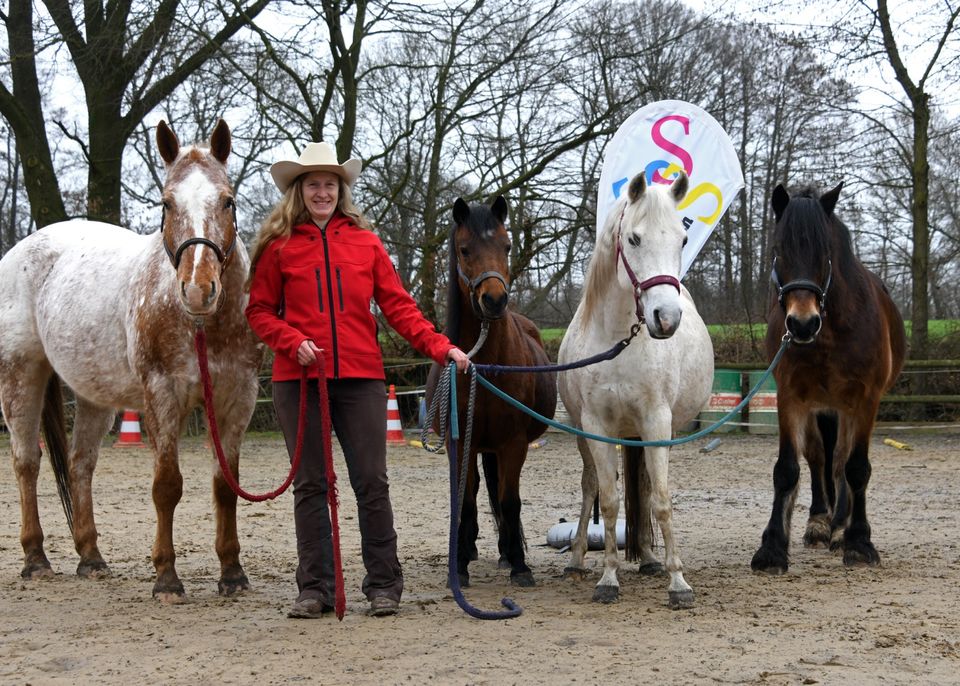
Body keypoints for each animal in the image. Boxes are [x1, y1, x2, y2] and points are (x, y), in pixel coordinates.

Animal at [0, 121, 262, 604]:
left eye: (228, 200)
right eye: (167, 203)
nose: (198, 289)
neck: (202, 324)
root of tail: (22, 249)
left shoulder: (238, 396)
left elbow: (225, 484)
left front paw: (232, 573)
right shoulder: (162, 393)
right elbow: (167, 486)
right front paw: (167, 579)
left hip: (92, 394)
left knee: (80, 463)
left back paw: (91, 558)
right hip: (21, 374)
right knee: (27, 461)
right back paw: (36, 560)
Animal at [426, 196, 556, 588]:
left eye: (507, 246)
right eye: (464, 250)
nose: (495, 300)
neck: (483, 364)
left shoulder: (513, 443)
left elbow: (510, 500)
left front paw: (519, 565)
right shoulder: (459, 443)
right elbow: (466, 502)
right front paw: (460, 568)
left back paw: (504, 552)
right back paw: (466, 549)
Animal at [556, 175, 712, 612]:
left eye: (682, 238)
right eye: (634, 238)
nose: (666, 318)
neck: (619, 339)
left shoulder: (657, 422)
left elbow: (660, 499)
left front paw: (678, 583)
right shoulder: (595, 426)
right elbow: (607, 500)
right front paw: (607, 578)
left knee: (644, 488)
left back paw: (648, 557)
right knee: (590, 486)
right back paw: (577, 559)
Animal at [752, 183, 908, 576]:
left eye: (825, 253)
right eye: (778, 250)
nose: (802, 324)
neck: (830, 332)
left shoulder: (865, 401)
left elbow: (856, 468)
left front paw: (858, 542)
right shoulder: (791, 398)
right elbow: (787, 469)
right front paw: (772, 548)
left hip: (845, 408)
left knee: (839, 461)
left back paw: (840, 528)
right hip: (821, 408)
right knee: (819, 458)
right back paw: (821, 523)